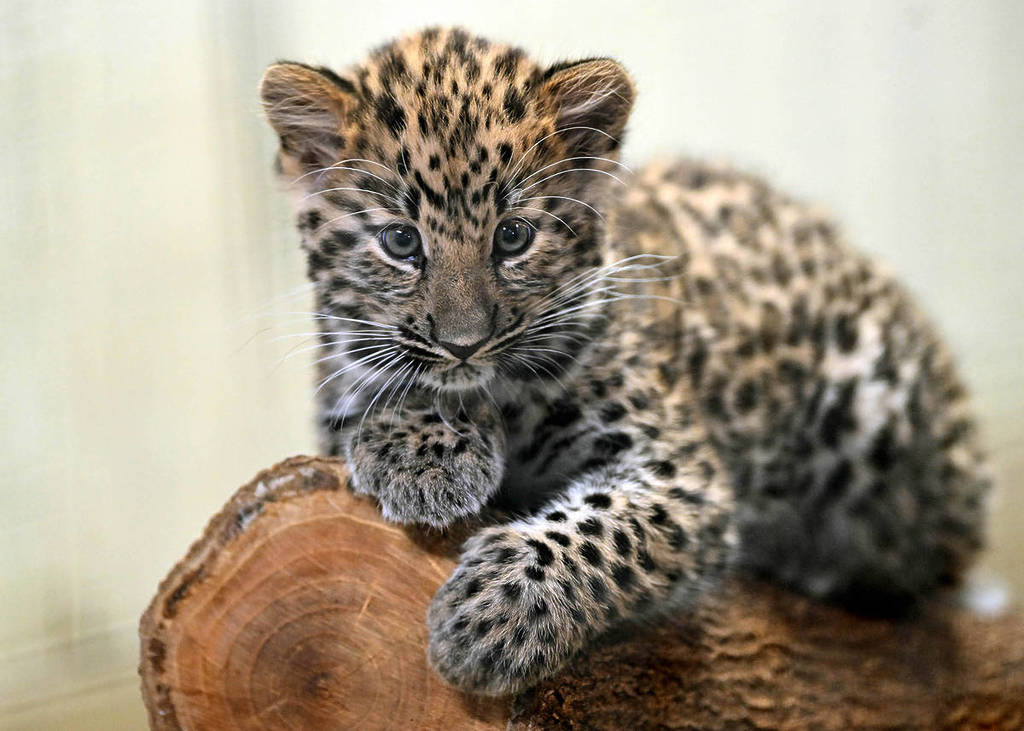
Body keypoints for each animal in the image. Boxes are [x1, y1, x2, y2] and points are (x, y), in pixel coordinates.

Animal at [259, 27, 990, 696]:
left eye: (513, 237)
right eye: (401, 242)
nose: (465, 342)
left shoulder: (682, 475)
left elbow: (598, 531)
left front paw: (490, 616)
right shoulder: (337, 385)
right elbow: (380, 378)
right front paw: (425, 451)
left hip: (876, 405)